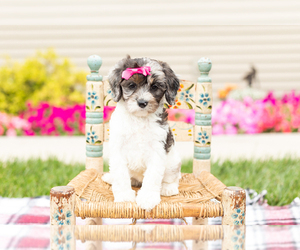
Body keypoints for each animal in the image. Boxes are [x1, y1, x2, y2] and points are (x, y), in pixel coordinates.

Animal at [102, 55, 182, 210]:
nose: (142, 102)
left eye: (154, 87)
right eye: (132, 85)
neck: (138, 119)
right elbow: (120, 175)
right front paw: (124, 196)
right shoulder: (118, 149)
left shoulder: (157, 150)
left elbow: (152, 177)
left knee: (173, 177)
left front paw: (147, 198)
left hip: (173, 162)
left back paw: (168, 188)